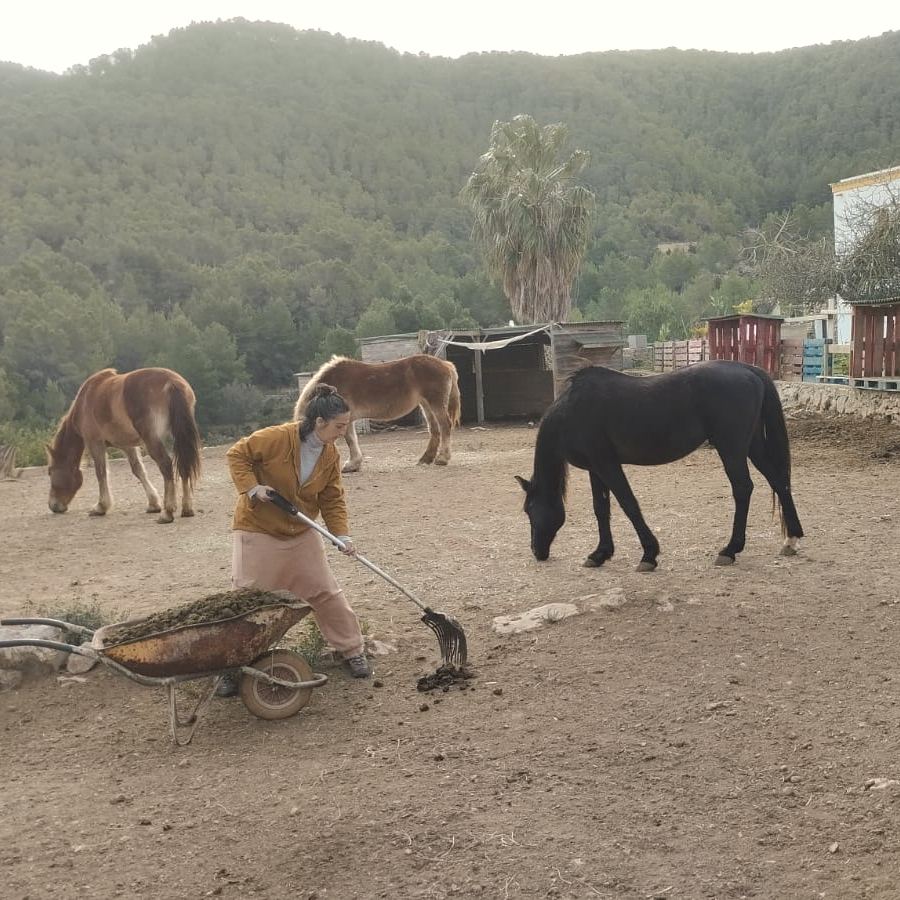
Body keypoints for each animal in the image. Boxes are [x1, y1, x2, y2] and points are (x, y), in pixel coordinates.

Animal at [47, 368, 202, 524]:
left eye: (50, 472)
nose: (53, 506)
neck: (85, 400)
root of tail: (171, 382)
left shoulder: (95, 443)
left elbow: (101, 472)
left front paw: (101, 506)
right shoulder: (128, 445)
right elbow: (138, 470)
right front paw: (153, 504)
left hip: (152, 439)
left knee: (166, 465)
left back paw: (168, 512)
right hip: (179, 436)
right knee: (183, 465)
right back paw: (187, 508)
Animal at [293, 355, 461, 473]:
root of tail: (445, 364)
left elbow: (350, 440)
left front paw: (351, 465)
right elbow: (352, 439)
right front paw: (354, 464)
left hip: (435, 403)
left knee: (445, 426)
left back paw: (442, 458)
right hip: (426, 405)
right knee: (434, 430)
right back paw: (426, 458)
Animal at [516, 360, 804, 570]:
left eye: (529, 510)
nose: (536, 551)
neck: (571, 411)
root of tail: (747, 369)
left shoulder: (607, 464)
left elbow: (629, 504)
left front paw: (649, 554)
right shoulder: (595, 469)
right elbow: (601, 509)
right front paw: (600, 554)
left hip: (731, 448)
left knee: (743, 488)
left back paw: (730, 550)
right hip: (751, 445)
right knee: (779, 481)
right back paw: (791, 540)